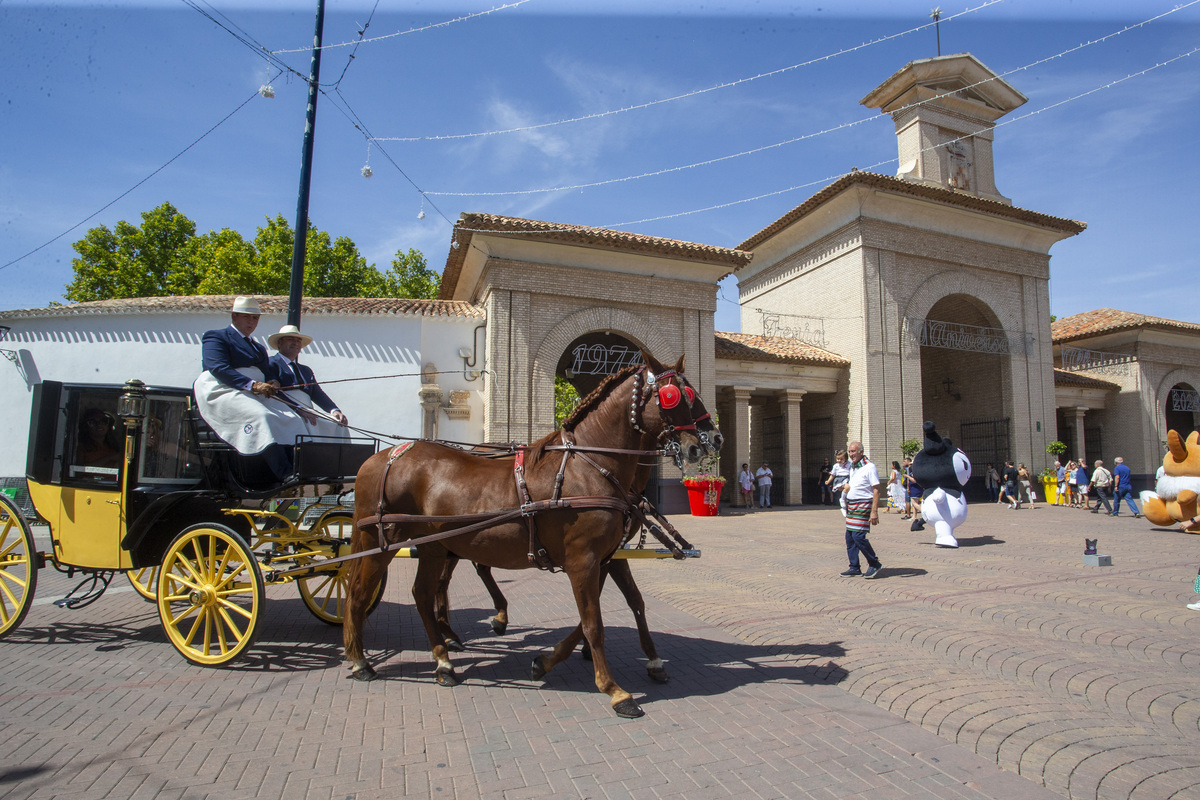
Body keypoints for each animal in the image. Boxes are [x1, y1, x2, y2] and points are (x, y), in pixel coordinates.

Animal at [343, 352, 700, 714]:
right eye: (673, 396)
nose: (701, 444)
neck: (589, 466)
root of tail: (382, 457)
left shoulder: (606, 556)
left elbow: (629, 604)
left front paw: (550, 661)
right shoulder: (583, 560)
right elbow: (593, 623)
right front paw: (614, 689)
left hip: (434, 547)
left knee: (423, 593)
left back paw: (444, 662)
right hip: (381, 542)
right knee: (359, 592)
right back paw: (361, 662)